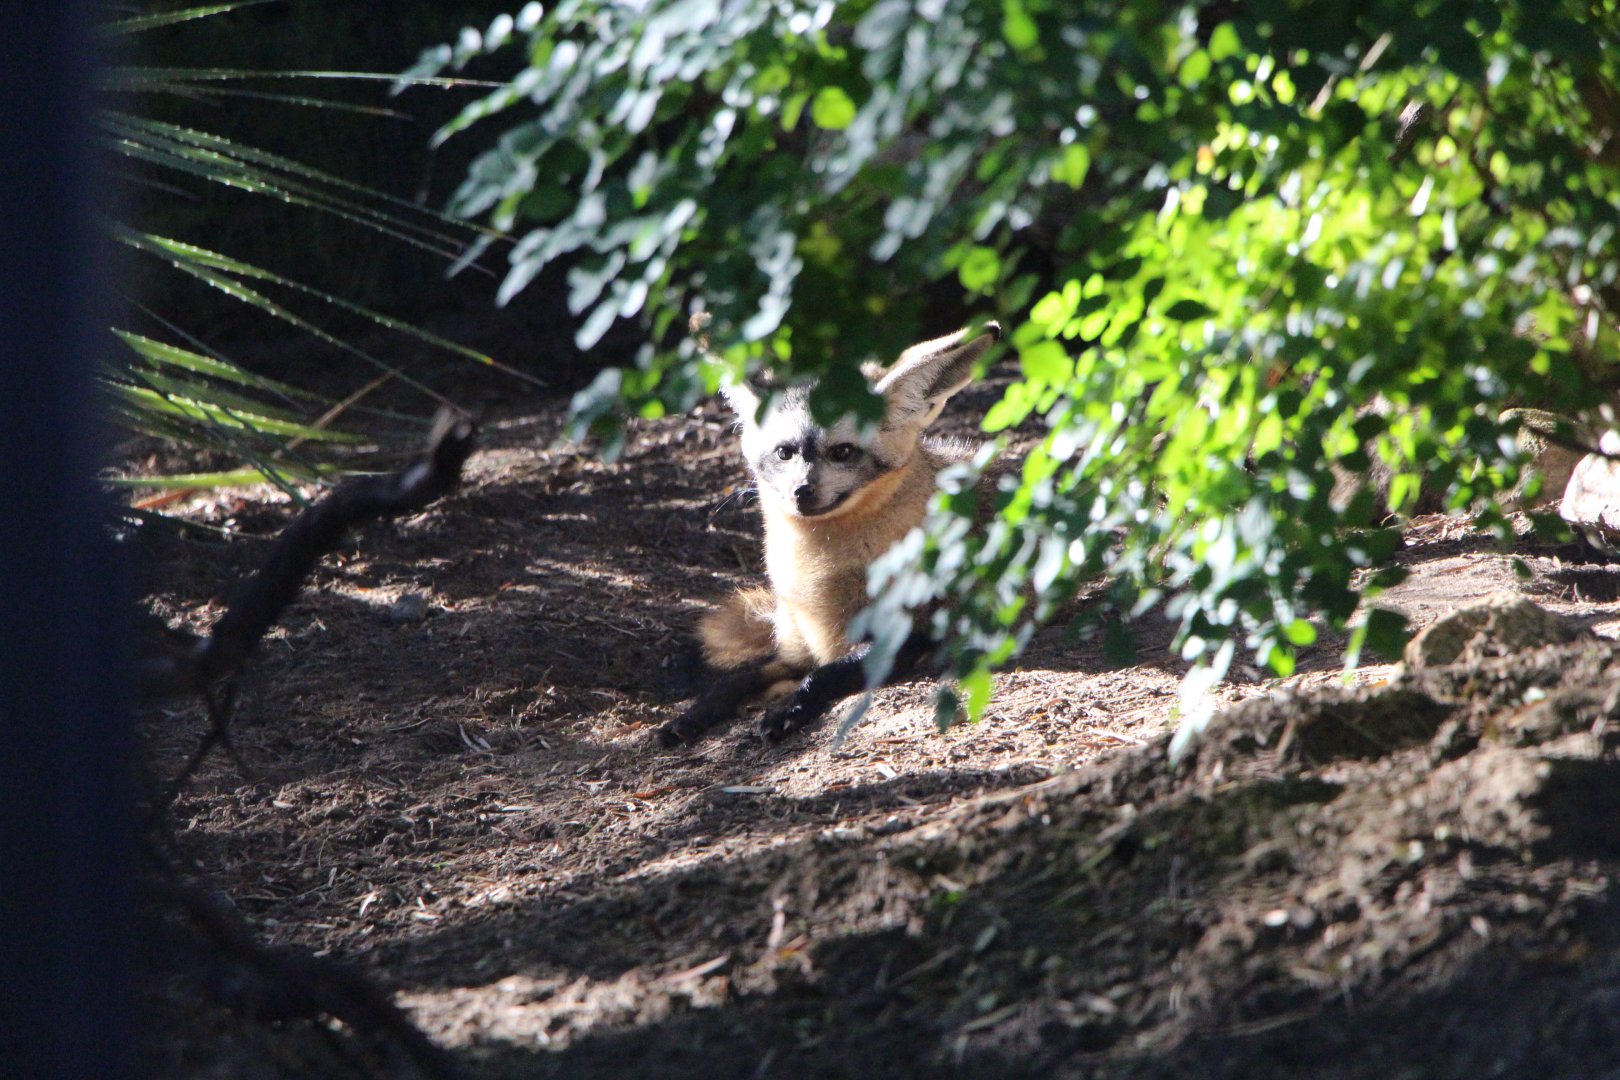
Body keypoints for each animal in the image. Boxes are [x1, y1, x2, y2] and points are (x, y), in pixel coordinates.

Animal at [657, 320, 1001, 747]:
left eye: (842, 452)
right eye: (785, 453)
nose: (801, 492)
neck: (817, 580)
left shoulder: (904, 639)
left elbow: (824, 675)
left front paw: (787, 711)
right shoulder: (795, 651)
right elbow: (736, 680)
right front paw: (692, 715)